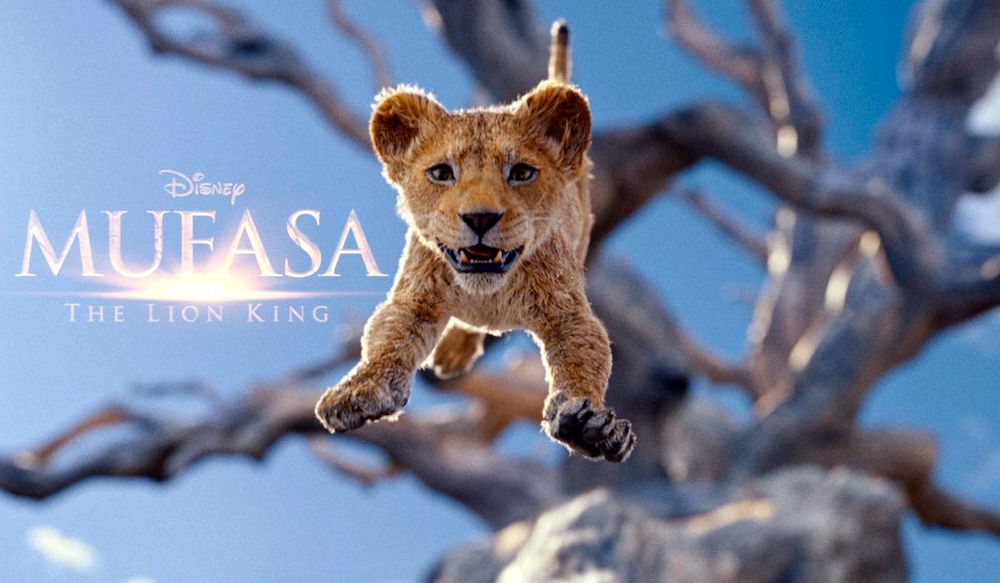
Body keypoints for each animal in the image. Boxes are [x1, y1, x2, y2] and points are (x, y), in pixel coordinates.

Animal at [315, 21, 635, 462]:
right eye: (441, 173)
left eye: (521, 172)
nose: (480, 218)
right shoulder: (414, 298)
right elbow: (386, 339)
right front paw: (357, 390)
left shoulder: (567, 312)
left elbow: (585, 356)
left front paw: (588, 424)